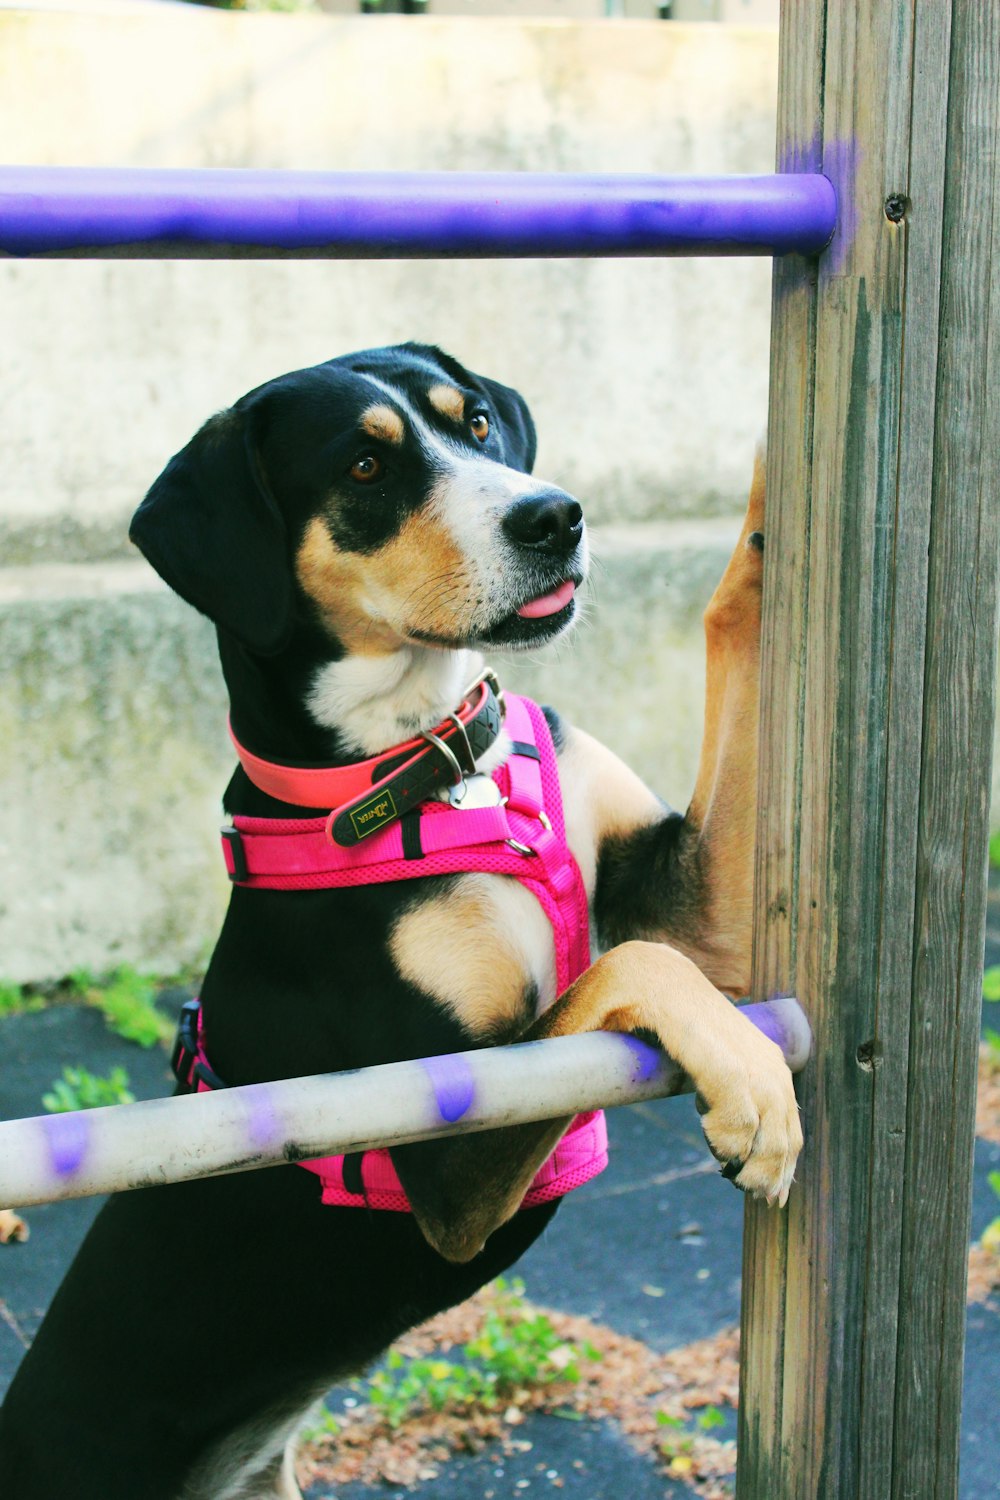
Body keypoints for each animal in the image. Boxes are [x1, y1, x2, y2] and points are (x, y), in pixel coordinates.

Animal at [0, 343, 803, 1500]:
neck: (435, 771)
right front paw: (751, 1085)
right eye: (366, 468)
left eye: (474, 424)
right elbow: (626, 971)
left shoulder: (702, 901)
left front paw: (771, 468)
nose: (554, 516)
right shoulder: (454, 1172)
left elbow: (728, 622)